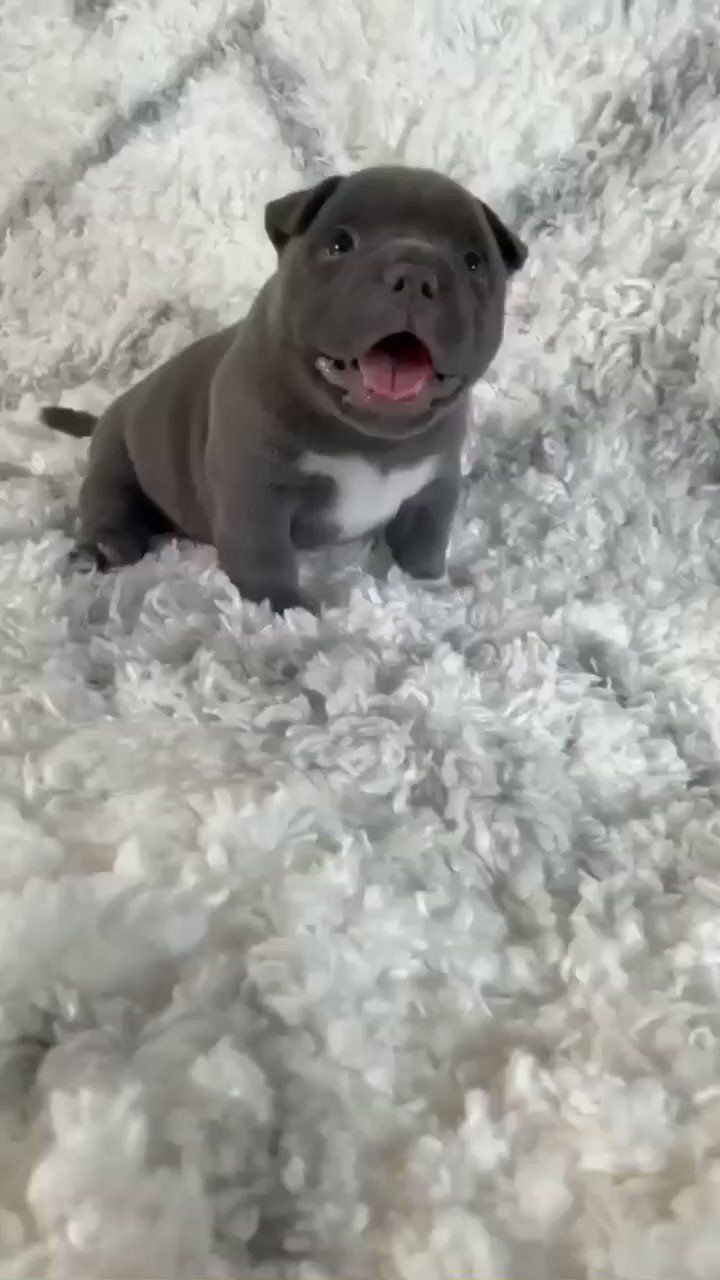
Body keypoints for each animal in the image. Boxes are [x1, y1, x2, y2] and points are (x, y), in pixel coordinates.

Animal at [43, 165, 527, 614]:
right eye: (340, 244)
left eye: (473, 262)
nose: (415, 274)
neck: (368, 439)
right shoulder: (255, 486)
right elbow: (262, 550)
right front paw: (285, 607)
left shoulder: (434, 482)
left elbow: (425, 537)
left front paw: (431, 587)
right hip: (115, 460)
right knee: (108, 502)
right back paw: (105, 547)